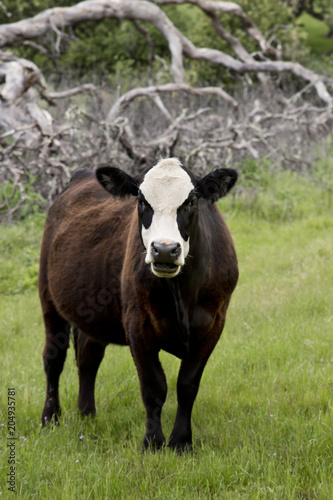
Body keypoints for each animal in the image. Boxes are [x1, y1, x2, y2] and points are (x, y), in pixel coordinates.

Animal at [38, 157, 236, 454]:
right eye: (142, 201)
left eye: (191, 201)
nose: (164, 249)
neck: (181, 292)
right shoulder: (137, 323)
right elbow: (154, 387)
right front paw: (153, 443)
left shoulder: (214, 323)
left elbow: (187, 385)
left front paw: (181, 442)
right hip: (49, 298)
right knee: (54, 358)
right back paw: (50, 417)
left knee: (88, 357)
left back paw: (87, 414)